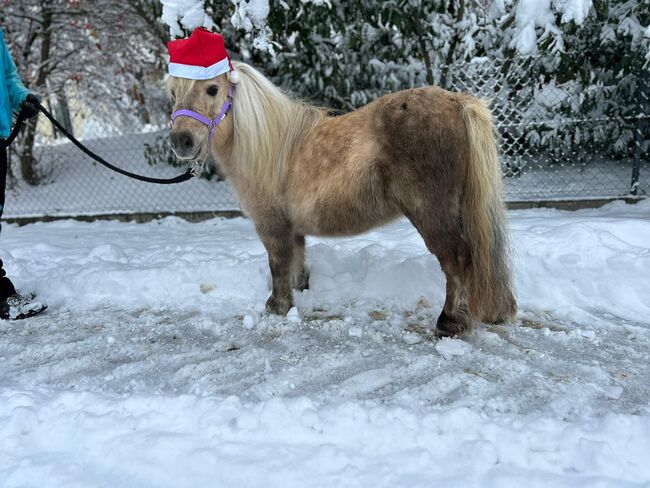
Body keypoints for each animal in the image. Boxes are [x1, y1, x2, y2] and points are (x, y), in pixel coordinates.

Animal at [167, 61, 516, 338]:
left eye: (212, 89)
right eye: (173, 93)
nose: (181, 140)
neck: (273, 148)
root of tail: (456, 101)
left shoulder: (271, 224)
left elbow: (278, 264)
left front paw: (276, 307)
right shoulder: (293, 229)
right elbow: (297, 264)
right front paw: (298, 299)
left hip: (431, 213)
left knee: (457, 259)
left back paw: (449, 323)